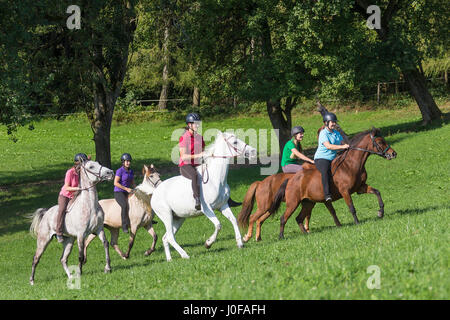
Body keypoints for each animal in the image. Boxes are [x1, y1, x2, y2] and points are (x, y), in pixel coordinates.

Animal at [151, 131, 256, 262]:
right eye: (235, 142)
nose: (253, 151)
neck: (216, 179)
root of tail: (154, 193)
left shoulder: (223, 206)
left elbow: (234, 220)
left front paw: (240, 243)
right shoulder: (207, 209)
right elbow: (218, 225)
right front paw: (208, 243)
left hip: (178, 218)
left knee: (166, 237)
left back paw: (170, 259)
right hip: (167, 216)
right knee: (170, 237)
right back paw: (185, 255)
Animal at [268, 129, 396, 239]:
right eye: (380, 142)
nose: (393, 154)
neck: (351, 165)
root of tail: (290, 179)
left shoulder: (360, 188)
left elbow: (377, 192)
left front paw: (380, 212)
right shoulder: (345, 191)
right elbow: (352, 208)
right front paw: (357, 223)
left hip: (308, 203)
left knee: (299, 218)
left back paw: (306, 234)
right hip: (293, 203)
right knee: (283, 218)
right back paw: (281, 237)